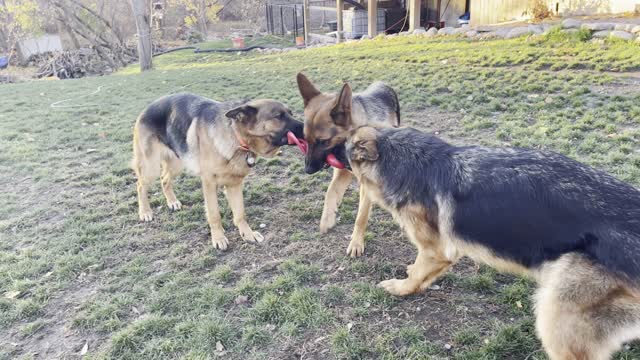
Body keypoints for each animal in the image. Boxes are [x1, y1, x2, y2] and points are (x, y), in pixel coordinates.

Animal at [131, 93, 304, 250]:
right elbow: (214, 215)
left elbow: (240, 214)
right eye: (278, 116)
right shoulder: (209, 184)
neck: (237, 138)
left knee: (164, 179)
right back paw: (145, 212)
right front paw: (219, 238)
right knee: (140, 185)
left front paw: (247, 234)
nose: (306, 128)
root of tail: (146, 109)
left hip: (177, 162)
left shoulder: (235, 184)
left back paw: (172, 202)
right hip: (151, 166)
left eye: (290, 113)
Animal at [296, 74, 400, 256]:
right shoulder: (342, 173)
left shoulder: (366, 186)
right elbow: (330, 193)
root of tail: (381, 83)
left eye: (323, 141)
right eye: (305, 139)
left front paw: (356, 242)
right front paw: (327, 219)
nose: (307, 170)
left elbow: (361, 216)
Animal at [344, 124, 640, 360]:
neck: (406, 158)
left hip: (556, 316)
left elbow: (416, 274)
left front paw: (400, 288)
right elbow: (423, 272)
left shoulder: (435, 250)